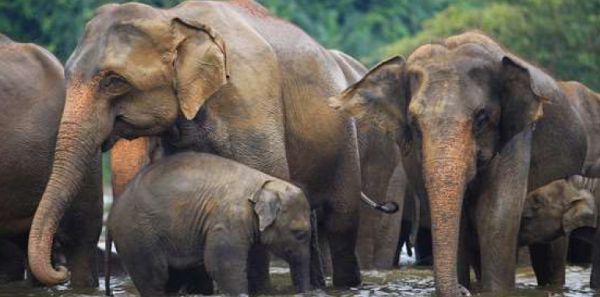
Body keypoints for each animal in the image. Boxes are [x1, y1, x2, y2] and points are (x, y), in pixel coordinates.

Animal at [109, 151, 314, 294]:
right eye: (299, 234)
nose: (305, 292)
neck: (263, 183)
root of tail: (113, 211)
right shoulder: (228, 221)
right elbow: (222, 265)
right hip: (137, 236)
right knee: (155, 279)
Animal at [328, 31, 600, 294]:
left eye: (481, 118)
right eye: (414, 123)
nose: (461, 290)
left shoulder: (517, 135)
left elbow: (496, 215)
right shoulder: (411, 154)